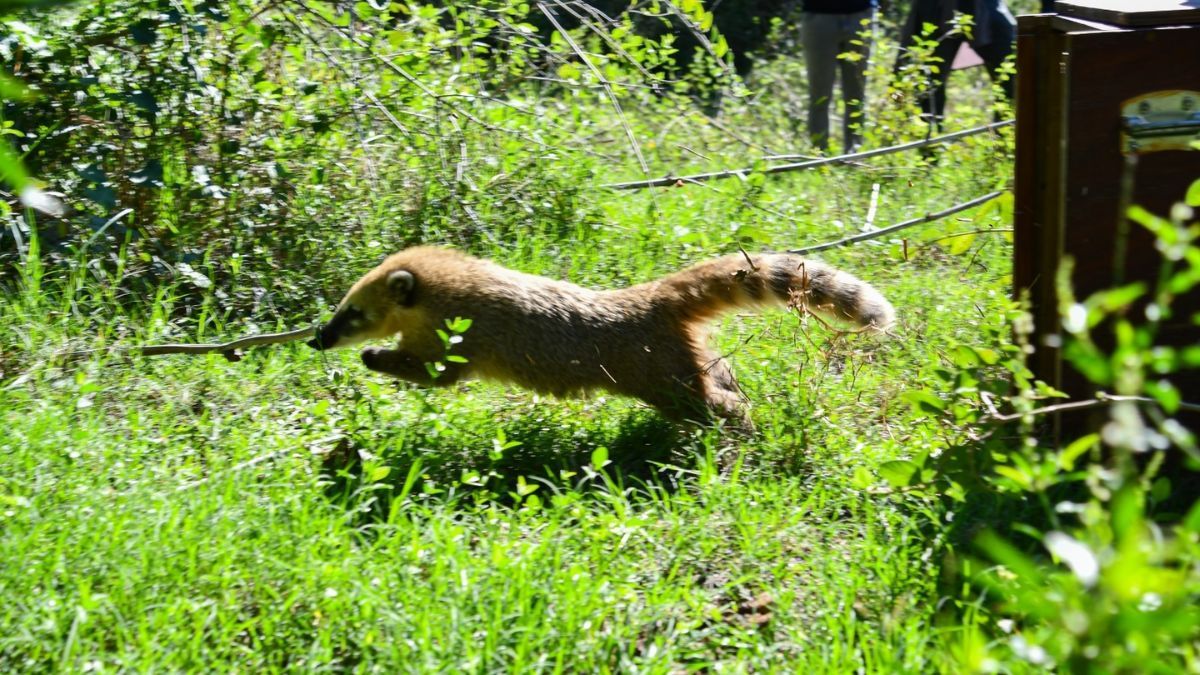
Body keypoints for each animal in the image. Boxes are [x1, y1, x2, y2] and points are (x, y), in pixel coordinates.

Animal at [307, 247, 895, 429]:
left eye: (354, 313)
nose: (317, 339)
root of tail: (648, 300)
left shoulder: (461, 333)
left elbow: (439, 373)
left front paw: (376, 356)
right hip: (686, 356)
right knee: (720, 372)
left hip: (660, 375)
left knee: (711, 403)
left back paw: (738, 426)